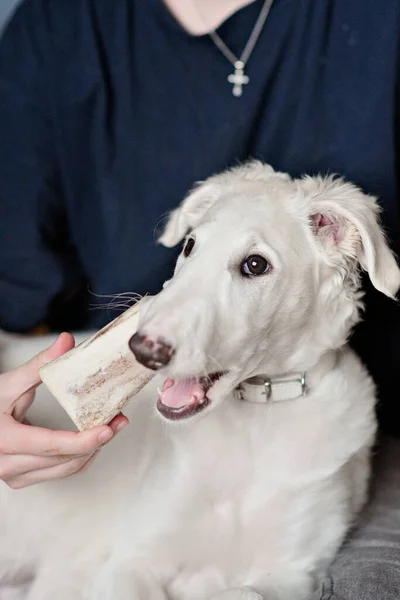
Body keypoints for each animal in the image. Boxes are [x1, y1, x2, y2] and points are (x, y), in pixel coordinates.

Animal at [0, 163, 400, 600]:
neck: (255, 421)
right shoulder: (132, 558)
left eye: (255, 265)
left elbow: (244, 591)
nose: (142, 349)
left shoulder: (294, 572)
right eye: (190, 245)